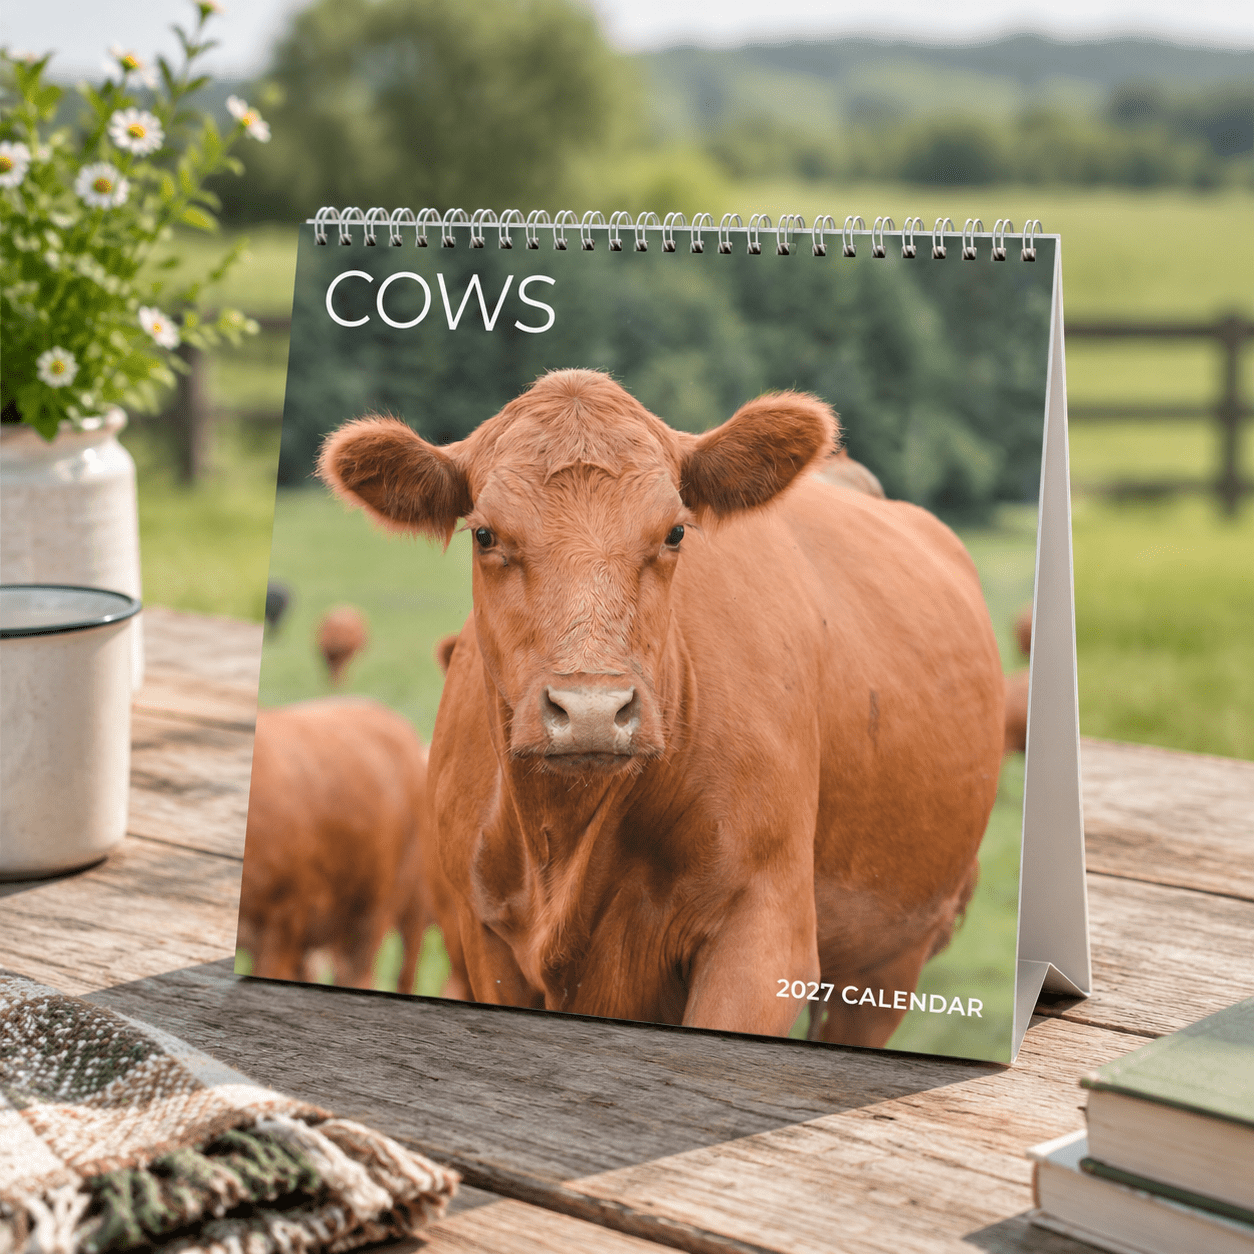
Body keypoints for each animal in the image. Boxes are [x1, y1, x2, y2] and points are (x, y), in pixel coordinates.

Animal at [317, 369, 1005, 1047]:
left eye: (675, 532)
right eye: (485, 534)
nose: (592, 710)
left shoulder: (763, 944)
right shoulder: (484, 941)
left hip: (885, 964)